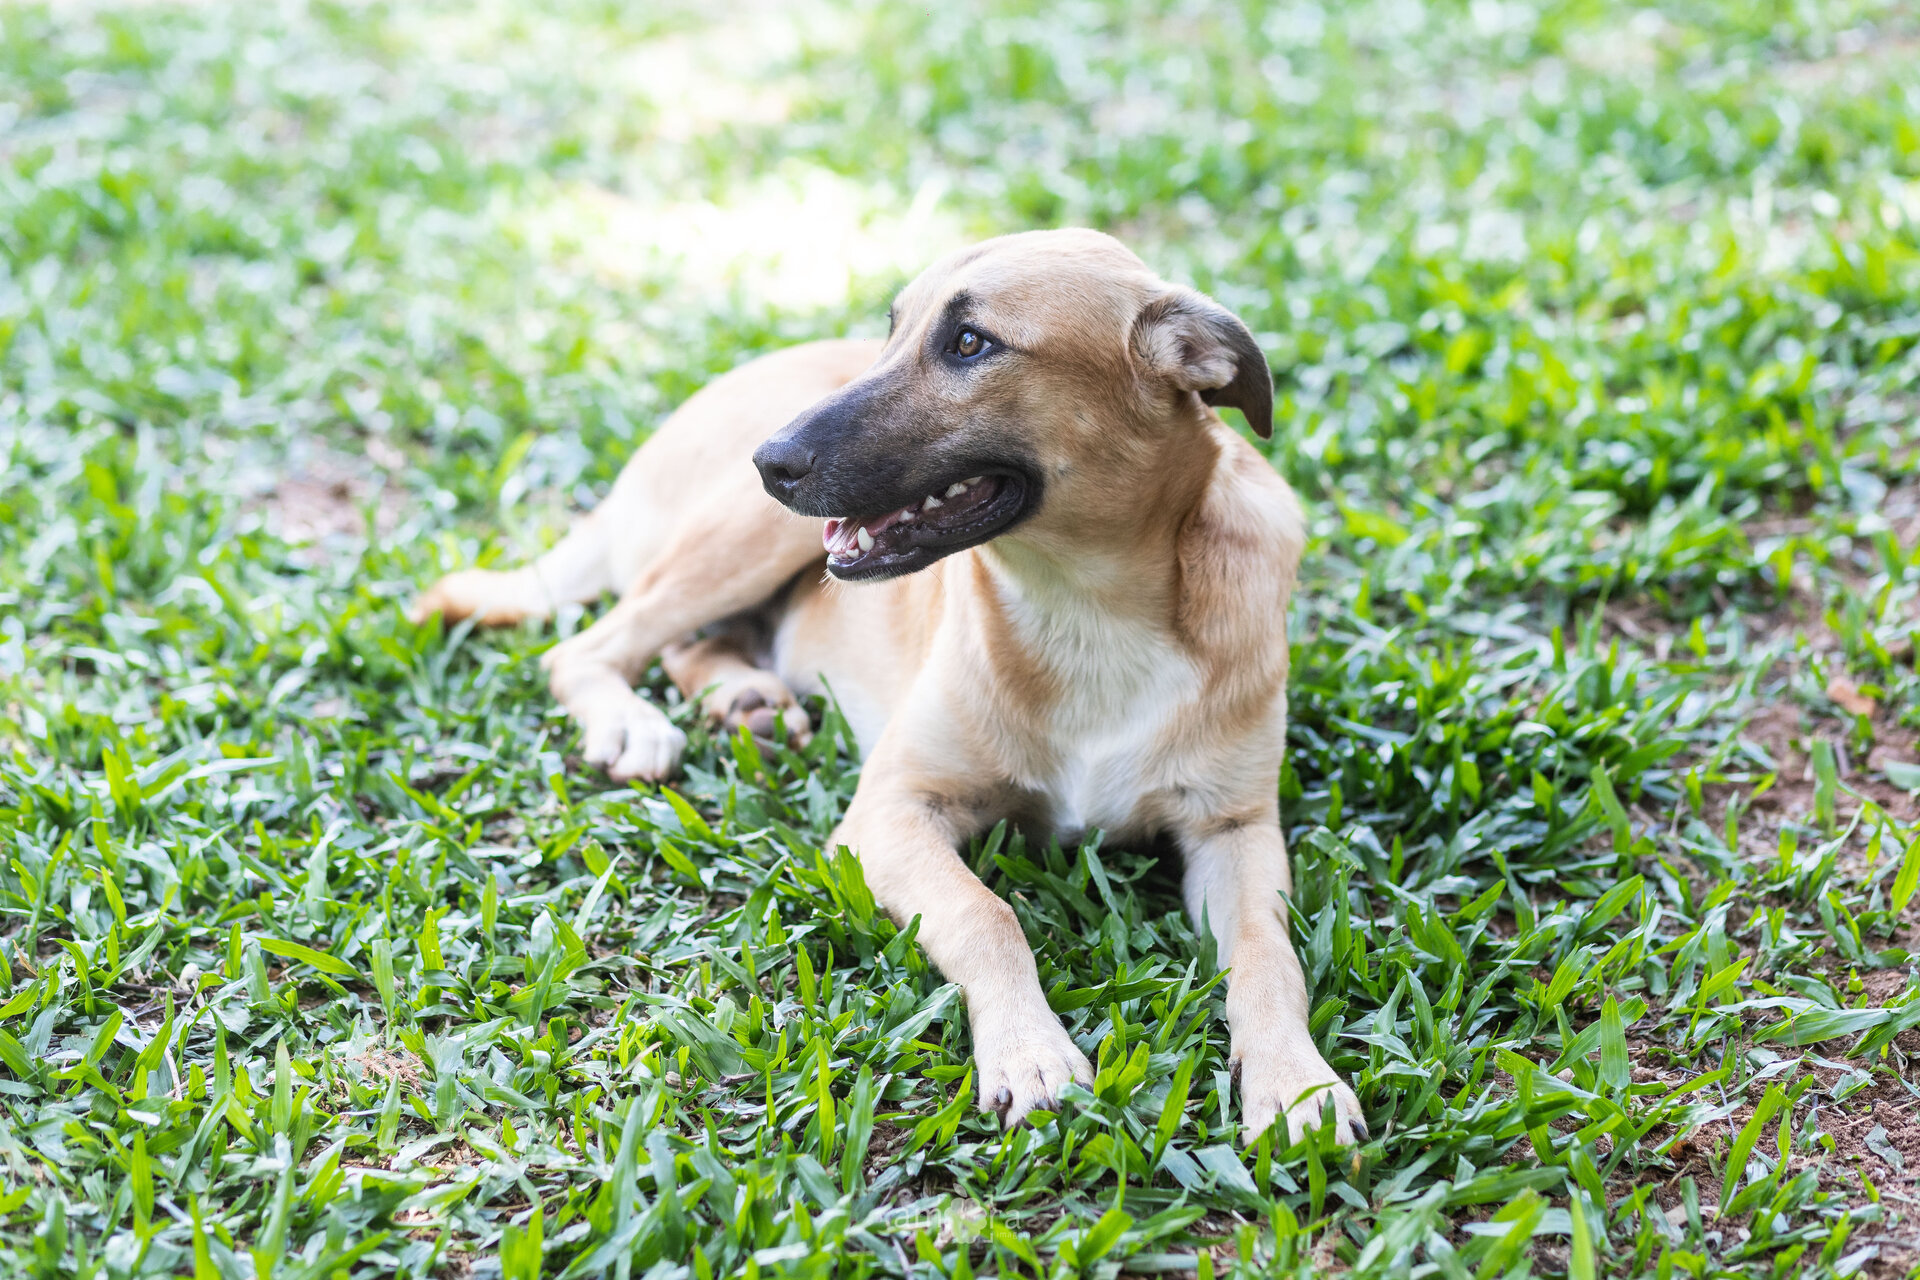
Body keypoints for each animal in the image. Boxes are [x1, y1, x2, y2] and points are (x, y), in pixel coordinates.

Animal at [412, 229, 1364, 1145]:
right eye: (894, 326)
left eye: (971, 342)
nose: (770, 460)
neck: (1088, 607)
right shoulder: (891, 813)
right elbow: (988, 916)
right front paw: (1030, 1051)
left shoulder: (1235, 829)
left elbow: (1269, 954)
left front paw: (1296, 1080)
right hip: (748, 535)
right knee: (590, 645)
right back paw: (636, 720)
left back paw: (743, 699)